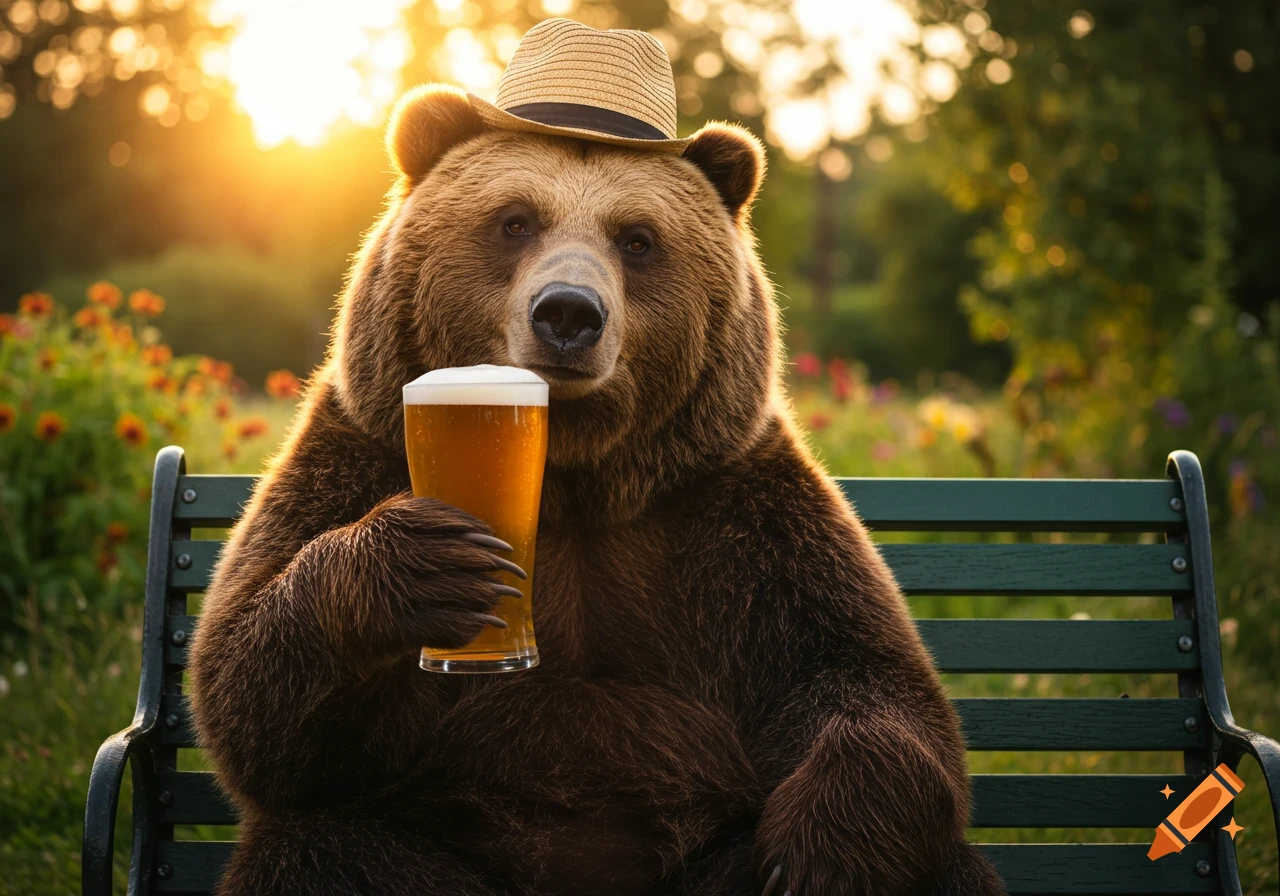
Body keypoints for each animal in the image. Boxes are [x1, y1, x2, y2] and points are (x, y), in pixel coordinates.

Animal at [187, 83, 1006, 896]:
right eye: (515, 220)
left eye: (637, 238)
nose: (568, 312)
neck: (577, 480)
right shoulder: (360, 449)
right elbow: (251, 696)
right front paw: (430, 561)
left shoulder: (740, 515)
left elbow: (867, 682)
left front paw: (814, 854)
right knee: (320, 847)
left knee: (945, 861)